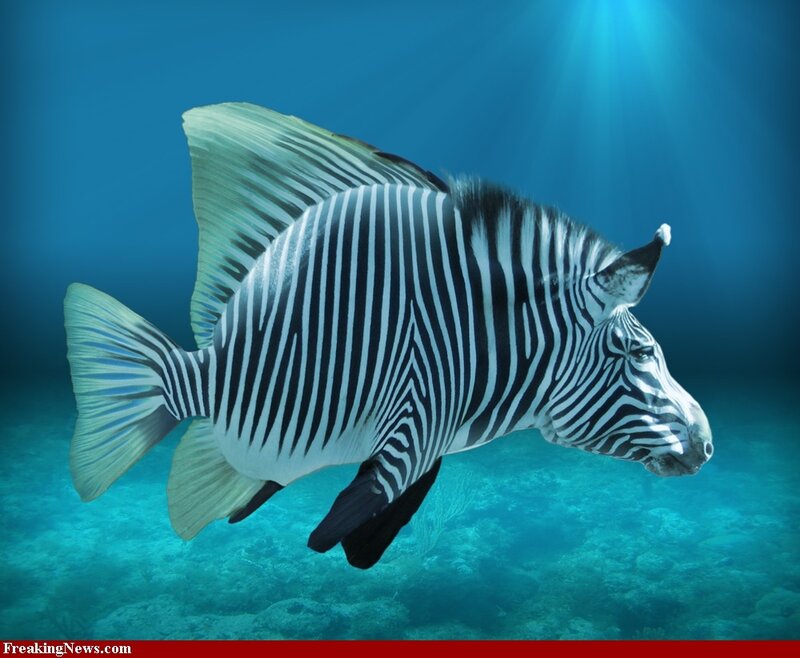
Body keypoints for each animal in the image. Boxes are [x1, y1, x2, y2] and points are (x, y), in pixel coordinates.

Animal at [64, 103, 713, 569]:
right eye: (638, 352)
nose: (708, 445)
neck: (497, 341)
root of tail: (186, 371)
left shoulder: (423, 432)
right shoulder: (419, 418)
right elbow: (364, 511)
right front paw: (340, 542)